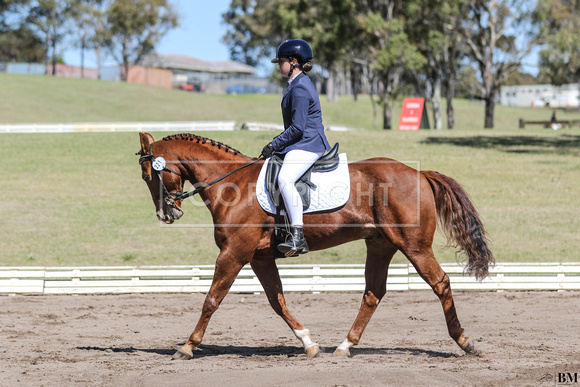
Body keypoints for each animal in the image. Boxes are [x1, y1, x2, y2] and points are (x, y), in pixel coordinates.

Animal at [137, 133, 494, 360]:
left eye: (147, 174)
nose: (166, 214)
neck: (231, 184)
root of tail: (420, 173)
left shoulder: (233, 254)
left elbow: (211, 299)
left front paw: (187, 347)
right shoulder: (259, 258)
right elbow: (277, 301)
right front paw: (308, 343)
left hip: (415, 247)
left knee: (440, 282)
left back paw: (465, 341)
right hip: (380, 245)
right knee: (373, 292)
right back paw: (344, 346)